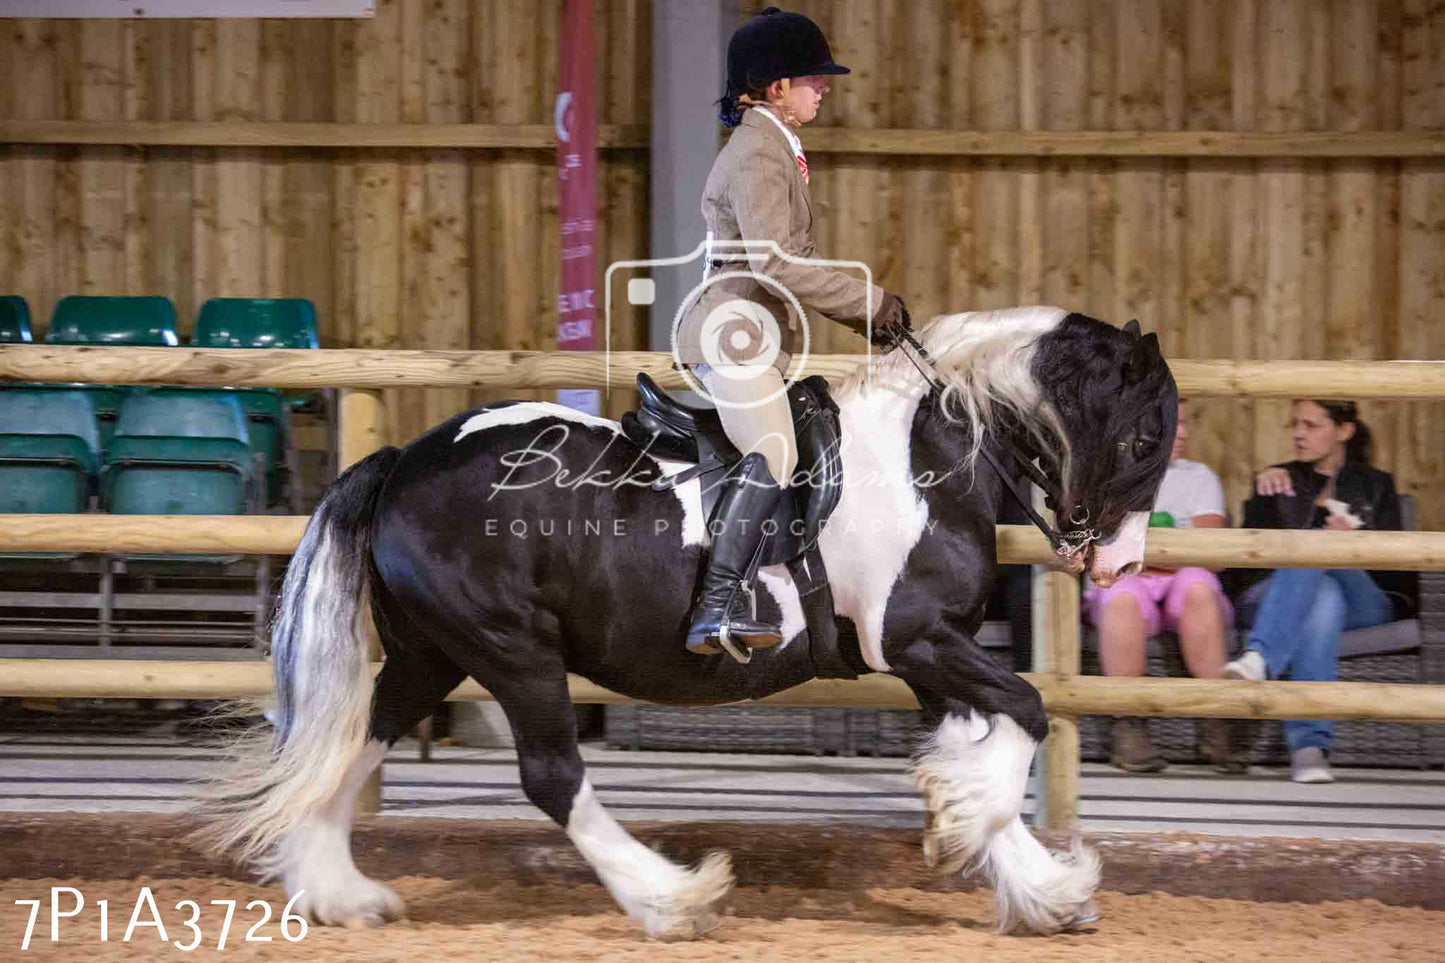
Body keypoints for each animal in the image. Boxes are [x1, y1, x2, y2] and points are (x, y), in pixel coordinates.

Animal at [197, 307, 1179, 936]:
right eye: (1141, 437)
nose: (1120, 565)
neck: (924, 457)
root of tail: (406, 457)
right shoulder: (917, 638)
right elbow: (1026, 716)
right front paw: (978, 837)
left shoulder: (928, 655)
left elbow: (983, 745)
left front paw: (1032, 881)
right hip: (512, 649)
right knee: (552, 775)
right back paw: (672, 898)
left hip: (430, 651)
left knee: (354, 738)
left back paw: (337, 892)